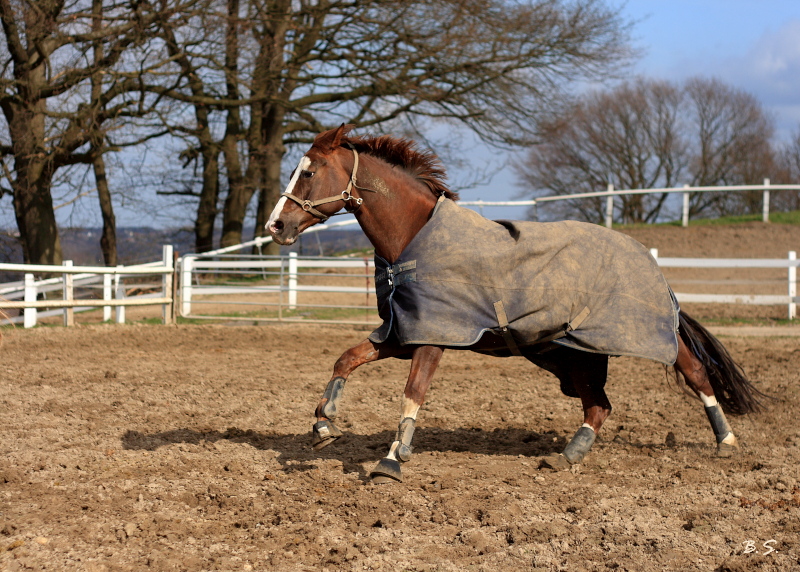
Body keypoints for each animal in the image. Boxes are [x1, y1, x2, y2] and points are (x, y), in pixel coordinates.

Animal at [268, 125, 764, 482]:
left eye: (309, 171)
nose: (276, 226)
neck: (411, 238)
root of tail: (647, 258)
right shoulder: (403, 333)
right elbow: (346, 359)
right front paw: (324, 425)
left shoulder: (434, 337)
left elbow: (413, 394)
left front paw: (391, 460)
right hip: (573, 354)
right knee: (599, 405)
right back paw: (567, 456)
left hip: (639, 333)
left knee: (694, 371)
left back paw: (726, 442)